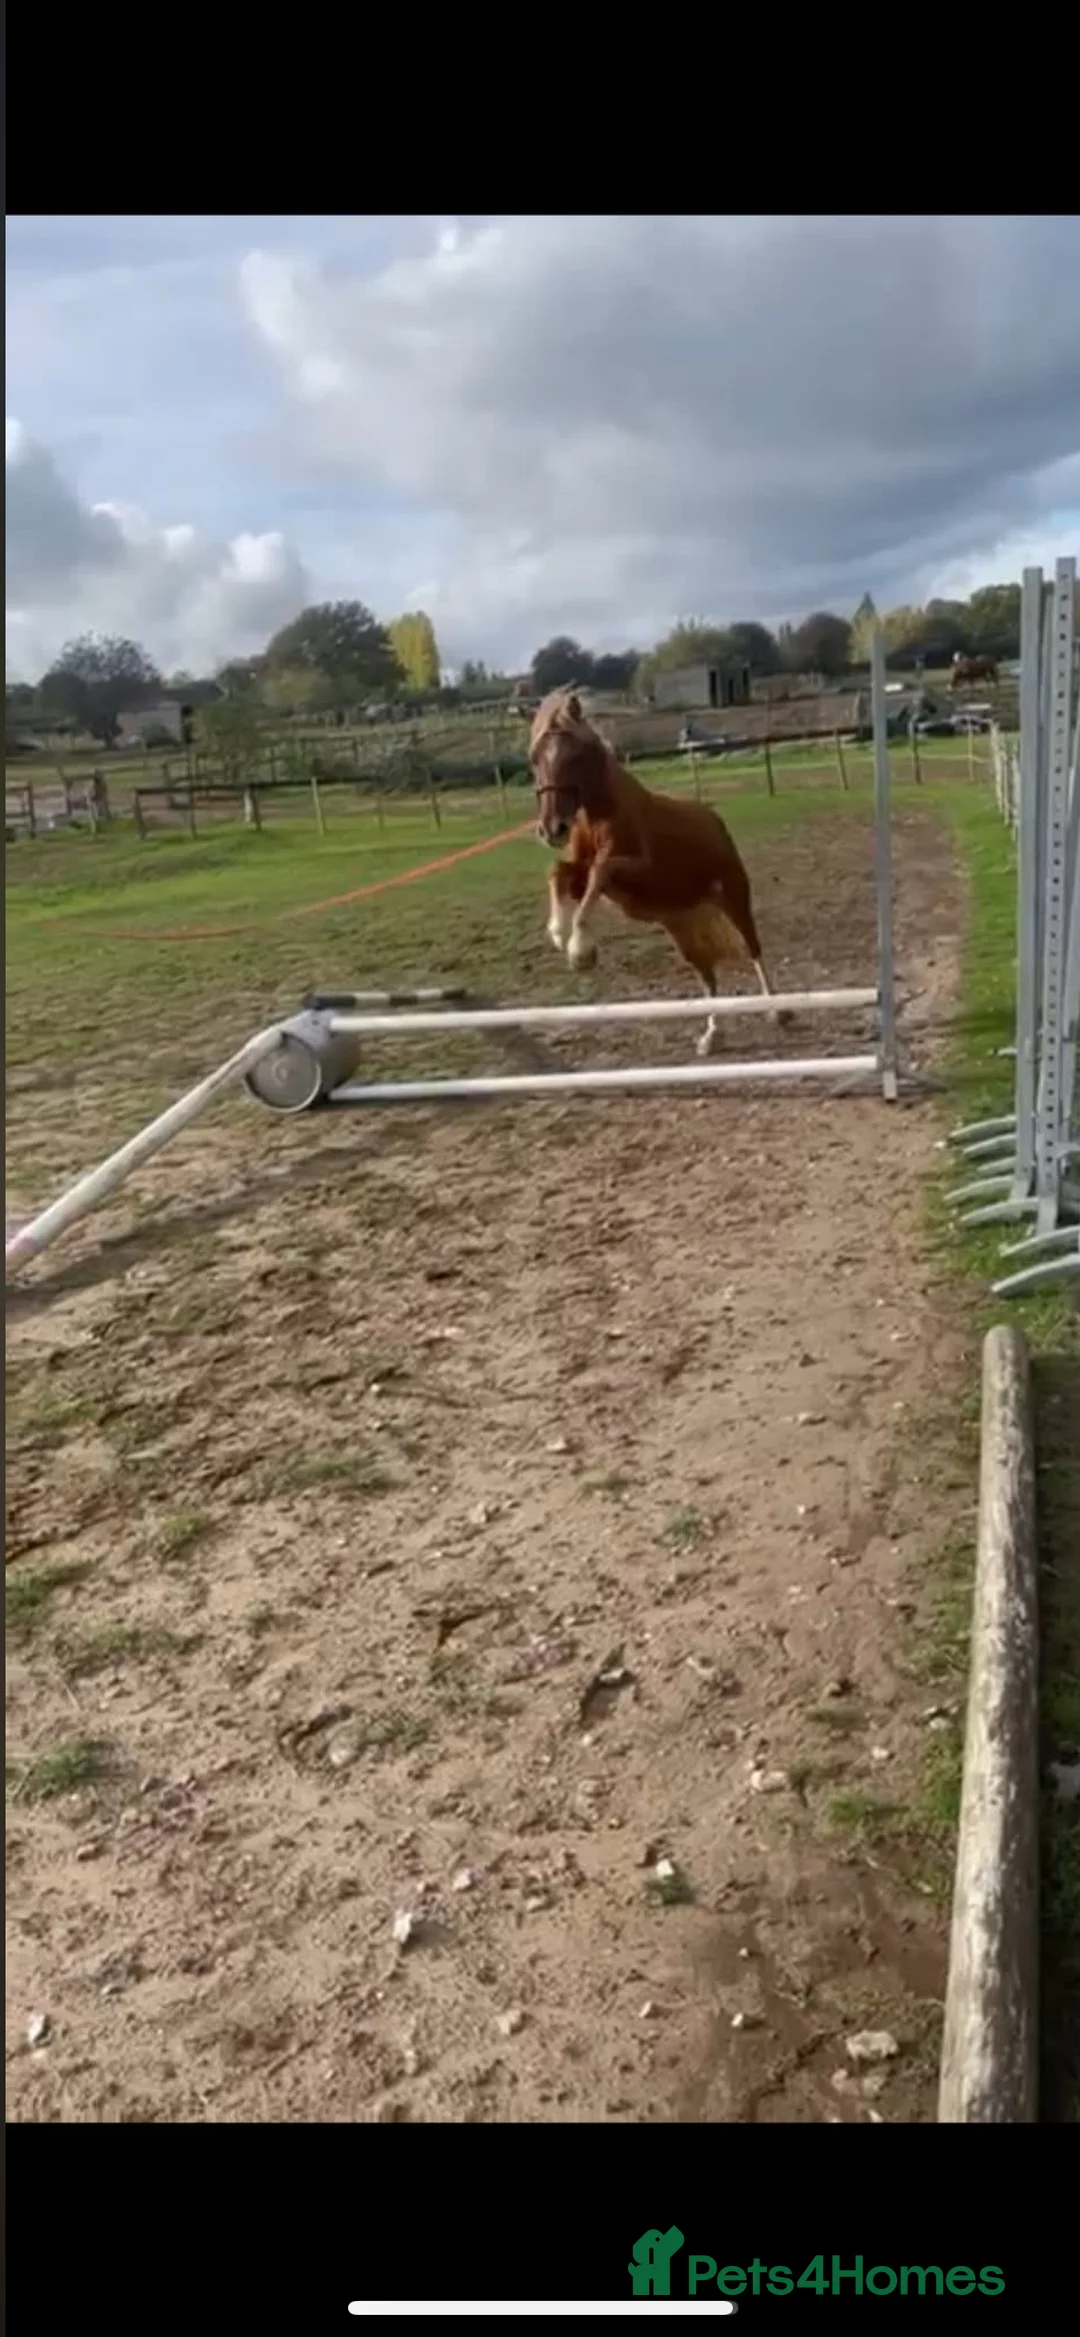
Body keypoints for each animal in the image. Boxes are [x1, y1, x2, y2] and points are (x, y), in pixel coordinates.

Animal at [529, 688, 787, 1058]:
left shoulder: (634, 869)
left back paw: (777, 1011)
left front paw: (581, 950)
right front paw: (558, 933)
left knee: (753, 949)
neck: (602, 816)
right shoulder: (579, 874)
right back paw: (711, 1036)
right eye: (535, 758)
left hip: (733, 897)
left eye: (575, 755)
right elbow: (558, 872)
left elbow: (601, 870)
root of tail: (714, 819)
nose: (553, 829)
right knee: (707, 975)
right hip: (681, 925)